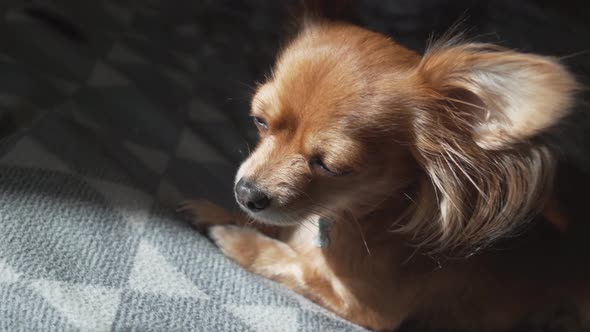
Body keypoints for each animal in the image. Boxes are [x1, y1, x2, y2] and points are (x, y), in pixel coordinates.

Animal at [183, 16, 588, 330]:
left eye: (332, 166)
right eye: (259, 120)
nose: (246, 192)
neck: (353, 215)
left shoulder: (364, 309)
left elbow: (292, 265)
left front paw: (237, 239)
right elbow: (280, 234)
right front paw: (217, 213)